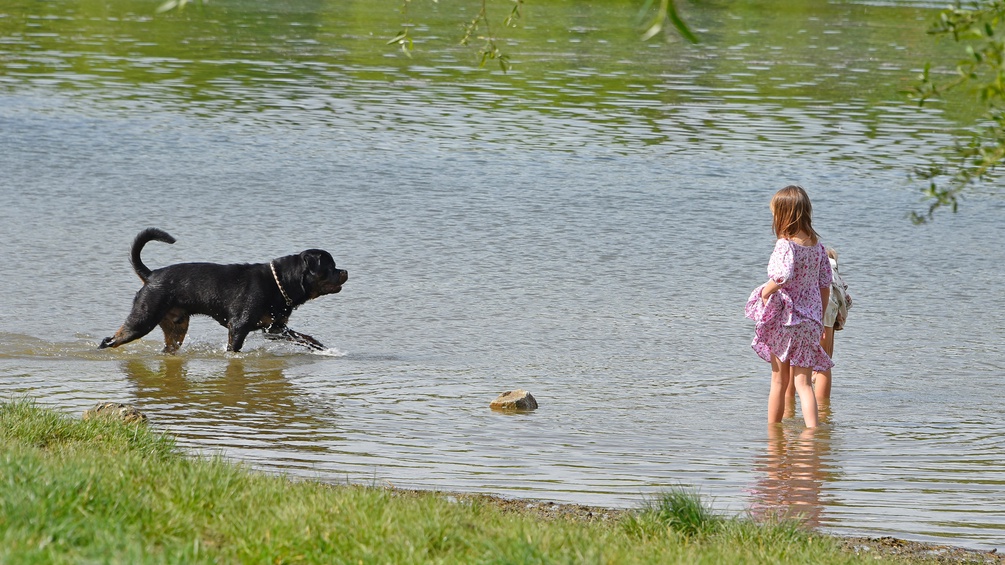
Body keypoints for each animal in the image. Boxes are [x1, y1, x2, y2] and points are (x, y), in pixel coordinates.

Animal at [98, 225, 349, 349]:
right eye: (331, 267)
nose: (345, 271)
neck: (281, 283)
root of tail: (151, 275)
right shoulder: (238, 327)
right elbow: (233, 349)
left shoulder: (275, 328)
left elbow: (302, 337)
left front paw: (318, 345)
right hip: (143, 318)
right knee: (110, 340)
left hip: (176, 327)